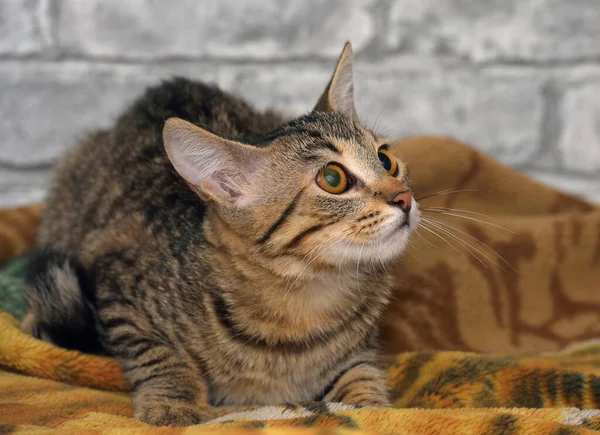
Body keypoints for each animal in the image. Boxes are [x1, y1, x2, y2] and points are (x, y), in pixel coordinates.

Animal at [22, 43, 418, 426]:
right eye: (333, 179)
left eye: (386, 160)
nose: (405, 197)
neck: (303, 297)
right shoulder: (118, 285)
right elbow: (160, 353)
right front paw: (175, 403)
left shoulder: (361, 348)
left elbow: (362, 372)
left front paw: (371, 407)